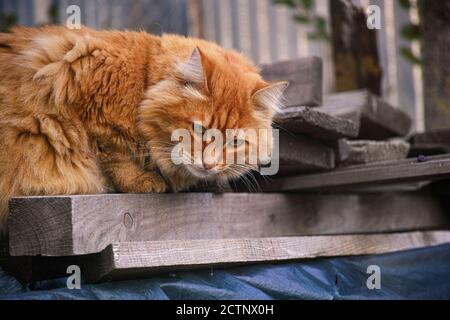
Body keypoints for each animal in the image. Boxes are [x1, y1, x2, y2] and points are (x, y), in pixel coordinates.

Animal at [0, 25, 288, 235]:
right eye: (199, 129)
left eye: (235, 143)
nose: (209, 164)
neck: (143, 81)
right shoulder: (75, 83)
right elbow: (111, 149)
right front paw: (139, 180)